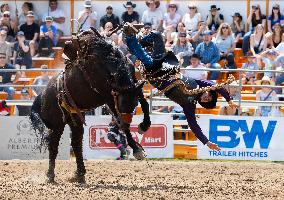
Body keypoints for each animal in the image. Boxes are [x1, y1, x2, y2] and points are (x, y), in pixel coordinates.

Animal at [30, 30, 148, 184]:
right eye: (121, 104)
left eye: (134, 104)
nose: (128, 119)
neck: (104, 62)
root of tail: (42, 96)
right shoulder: (108, 96)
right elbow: (121, 122)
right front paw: (137, 149)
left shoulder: (134, 87)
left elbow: (145, 103)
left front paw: (145, 125)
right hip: (57, 125)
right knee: (53, 146)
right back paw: (51, 175)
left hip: (75, 120)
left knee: (76, 143)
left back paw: (80, 173)